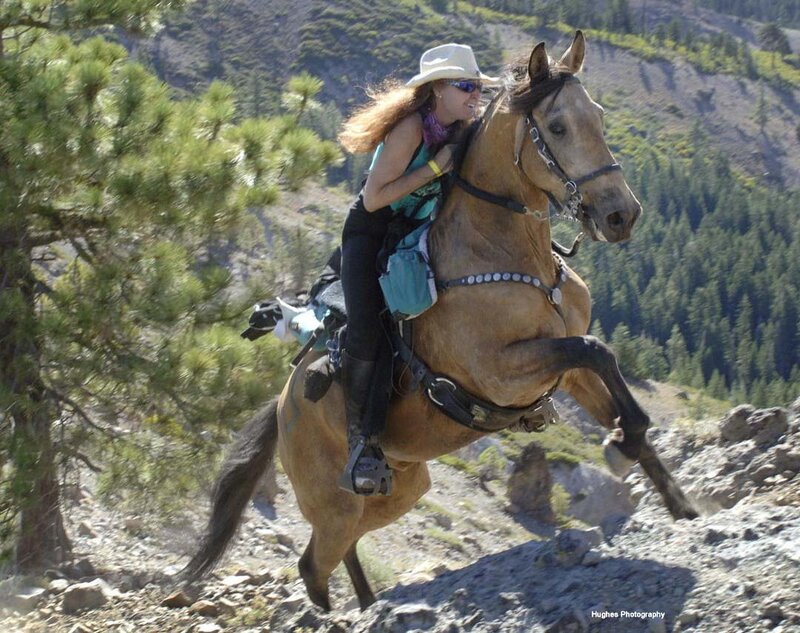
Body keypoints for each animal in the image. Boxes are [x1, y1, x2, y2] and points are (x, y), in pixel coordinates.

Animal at [183, 31, 698, 612]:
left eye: (600, 117)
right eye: (558, 126)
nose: (620, 215)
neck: (515, 255)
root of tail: (281, 405)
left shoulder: (564, 369)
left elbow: (604, 366)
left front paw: (673, 496)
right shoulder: (503, 372)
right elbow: (596, 350)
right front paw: (624, 442)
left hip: (399, 489)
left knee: (344, 549)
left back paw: (372, 605)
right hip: (333, 500)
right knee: (313, 565)